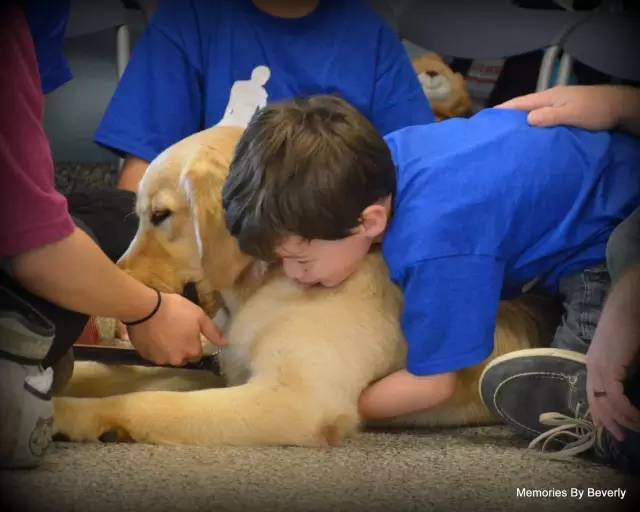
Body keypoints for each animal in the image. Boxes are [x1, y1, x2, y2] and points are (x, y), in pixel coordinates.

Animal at [52, 125, 556, 448]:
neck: (266, 282)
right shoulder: (224, 367)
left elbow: (148, 401)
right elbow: (120, 374)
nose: (118, 279)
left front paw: (66, 413)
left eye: (160, 215)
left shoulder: (294, 400)